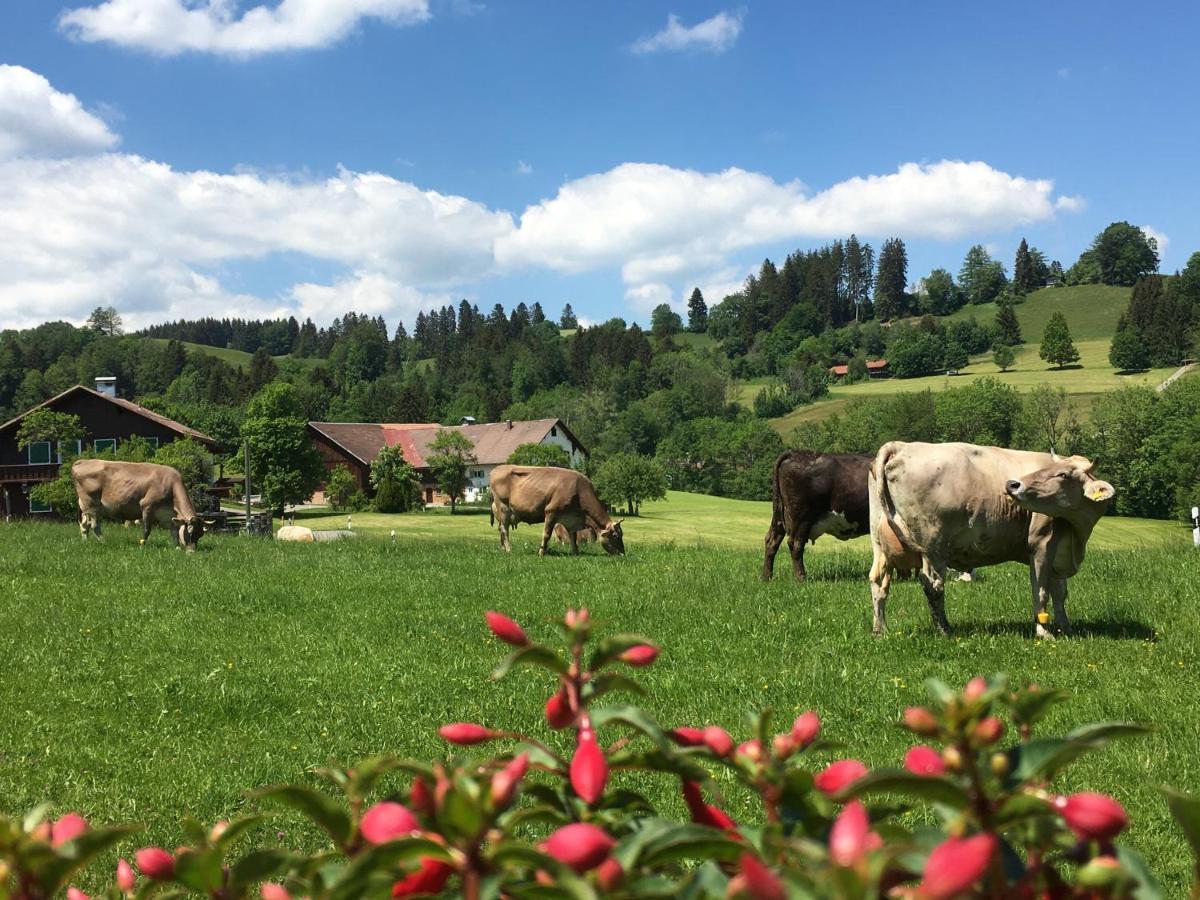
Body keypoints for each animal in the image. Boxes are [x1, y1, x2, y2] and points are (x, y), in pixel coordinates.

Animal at [72, 460, 206, 554]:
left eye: (200, 534)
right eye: (190, 532)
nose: (192, 551)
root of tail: (83, 461)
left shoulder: (168, 514)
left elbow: (174, 531)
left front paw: (177, 547)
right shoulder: (147, 506)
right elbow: (147, 529)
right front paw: (142, 544)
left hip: (87, 508)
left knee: (85, 524)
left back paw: (85, 542)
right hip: (91, 505)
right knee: (95, 526)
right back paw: (104, 541)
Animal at [489, 465, 628, 556]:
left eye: (622, 534)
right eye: (615, 536)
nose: (623, 553)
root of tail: (497, 469)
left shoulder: (571, 518)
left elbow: (573, 537)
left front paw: (575, 552)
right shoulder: (551, 512)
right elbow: (546, 534)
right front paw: (542, 552)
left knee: (501, 529)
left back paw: (502, 549)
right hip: (504, 507)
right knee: (504, 530)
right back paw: (508, 549)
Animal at [758, 451, 873, 585]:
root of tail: (794, 454)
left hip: (779, 515)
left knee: (772, 541)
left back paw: (766, 577)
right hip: (801, 518)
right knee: (796, 544)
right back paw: (801, 578)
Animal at [864, 444, 1113, 643]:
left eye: (1062, 474)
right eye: (1051, 471)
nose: (1013, 484)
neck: (1077, 536)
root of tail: (900, 446)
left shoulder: (1060, 552)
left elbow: (1060, 593)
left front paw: (1066, 628)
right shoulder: (1041, 544)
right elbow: (1041, 590)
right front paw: (1044, 632)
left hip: (880, 543)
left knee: (878, 582)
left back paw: (880, 629)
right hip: (933, 547)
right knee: (932, 586)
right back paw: (944, 629)